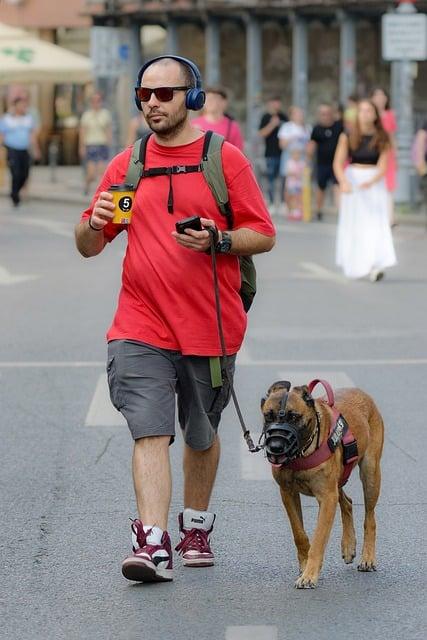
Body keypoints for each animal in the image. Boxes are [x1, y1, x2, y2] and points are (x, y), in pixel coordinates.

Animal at [262, 380, 386, 592]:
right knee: (347, 502)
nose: (276, 447)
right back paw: (348, 545)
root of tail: (362, 393)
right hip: (339, 480)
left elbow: (319, 539)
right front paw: (304, 565)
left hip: (370, 474)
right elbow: (299, 533)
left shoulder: (327, 498)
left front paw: (309, 575)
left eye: (294, 417)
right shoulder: (288, 494)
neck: (302, 452)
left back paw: (368, 557)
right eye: (268, 415)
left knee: (369, 518)